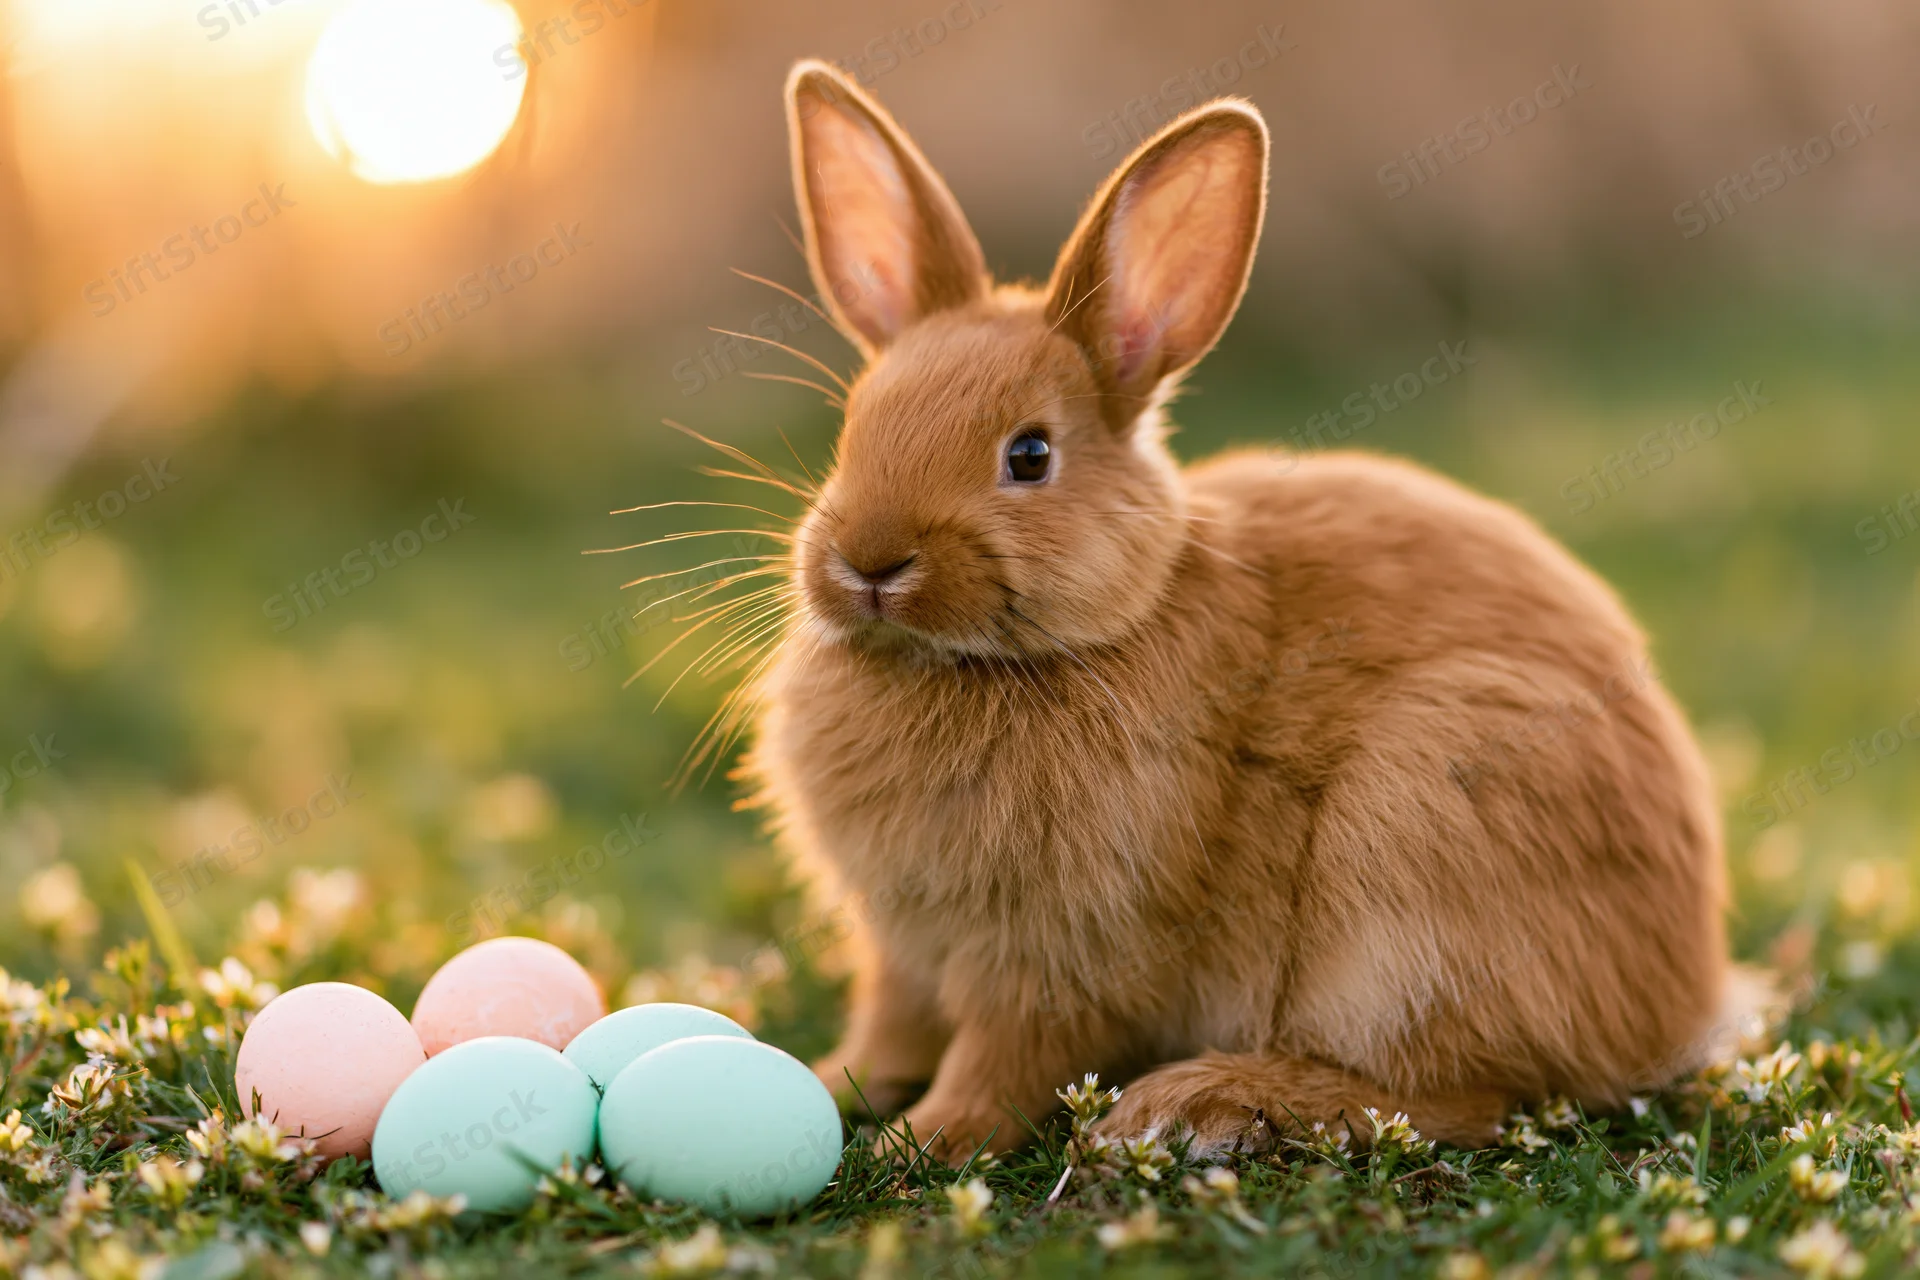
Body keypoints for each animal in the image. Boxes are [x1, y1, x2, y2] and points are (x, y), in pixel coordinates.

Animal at [734, 58, 1742, 1164]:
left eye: (1029, 455)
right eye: (854, 426)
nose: (869, 560)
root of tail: (1678, 998)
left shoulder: (1066, 949)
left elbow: (1008, 1057)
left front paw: (925, 1139)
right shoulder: (900, 948)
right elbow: (888, 1028)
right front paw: (828, 1082)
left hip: (1420, 849)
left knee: (1462, 1097)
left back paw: (1200, 1104)